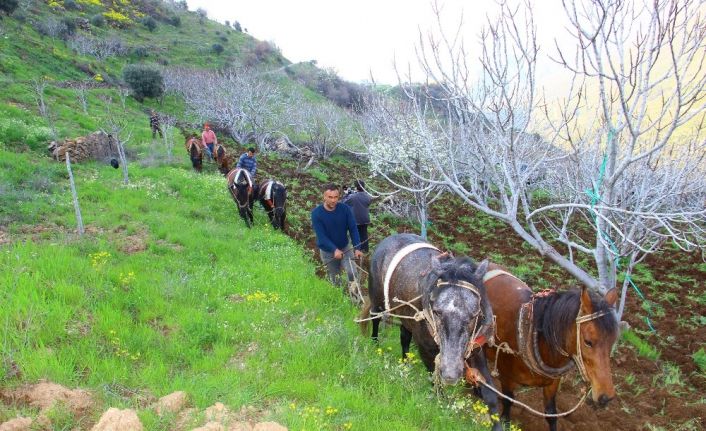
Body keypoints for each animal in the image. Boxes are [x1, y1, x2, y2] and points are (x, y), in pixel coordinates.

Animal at [360, 235, 504, 431]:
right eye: (437, 311)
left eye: (474, 314)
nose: (451, 373)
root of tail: (390, 238)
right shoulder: (426, 349)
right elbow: (437, 385)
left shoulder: (475, 349)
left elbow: (490, 392)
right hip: (377, 299)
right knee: (375, 318)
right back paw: (375, 344)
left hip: (407, 318)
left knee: (404, 337)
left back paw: (405, 363)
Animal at [476, 264, 620, 431]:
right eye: (588, 341)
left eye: (612, 341)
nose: (606, 397)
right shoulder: (506, 376)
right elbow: (508, 400)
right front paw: (504, 420)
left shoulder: (553, 383)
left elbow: (551, 413)